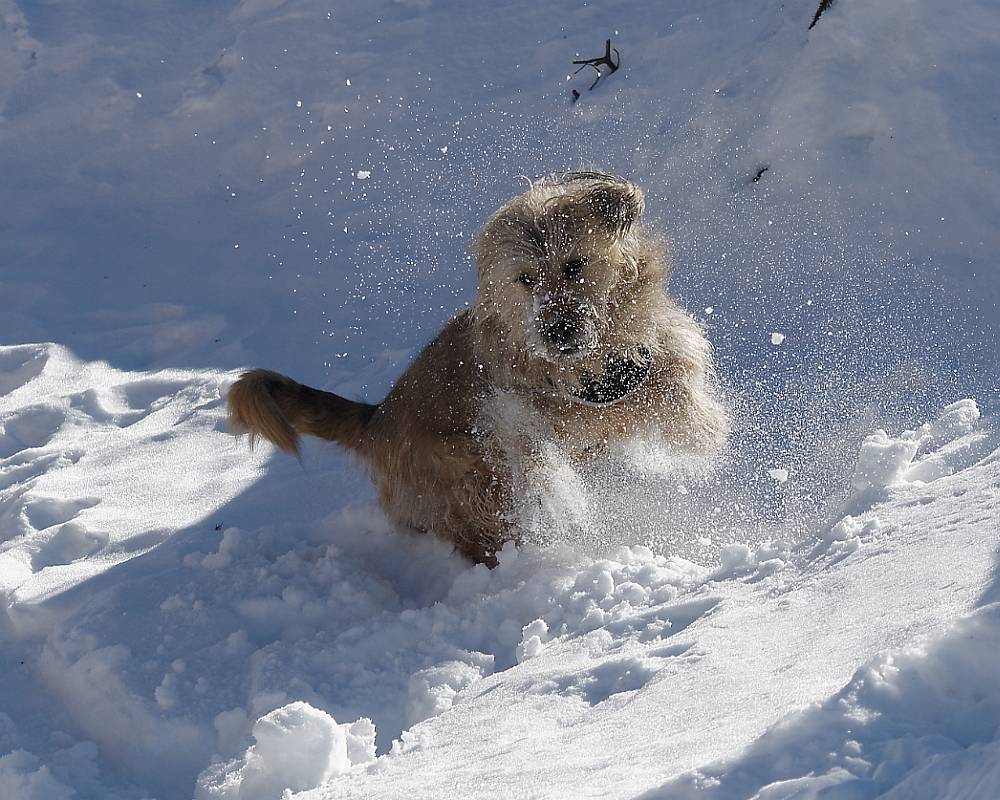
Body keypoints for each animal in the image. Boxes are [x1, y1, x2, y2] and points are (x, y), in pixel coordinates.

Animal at [227, 173, 728, 564]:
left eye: (574, 265)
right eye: (525, 279)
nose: (558, 333)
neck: (593, 360)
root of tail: (377, 419)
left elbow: (675, 374)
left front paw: (696, 423)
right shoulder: (521, 412)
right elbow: (540, 428)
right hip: (470, 475)